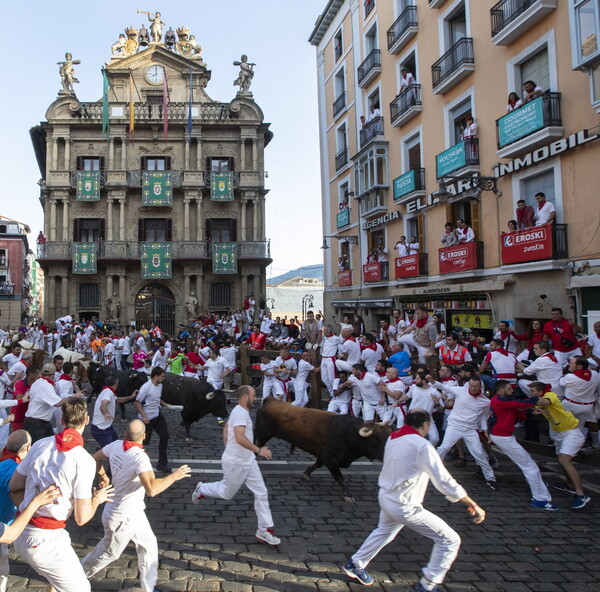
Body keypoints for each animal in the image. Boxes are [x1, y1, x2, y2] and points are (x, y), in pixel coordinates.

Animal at [254, 396, 392, 502]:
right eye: (374, 440)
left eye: (387, 437)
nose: (387, 456)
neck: (349, 434)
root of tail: (270, 399)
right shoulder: (330, 458)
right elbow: (340, 478)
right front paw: (347, 495)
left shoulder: (323, 456)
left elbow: (316, 465)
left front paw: (307, 473)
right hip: (263, 434)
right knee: (256, 443)